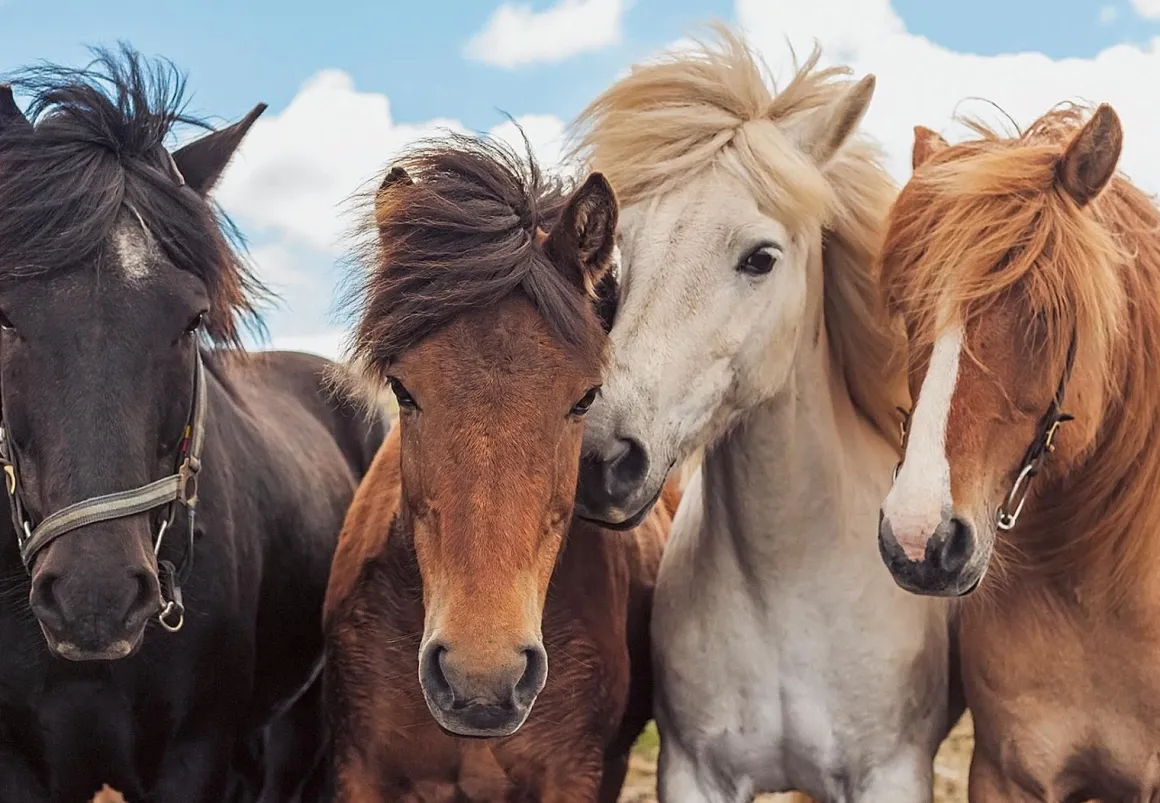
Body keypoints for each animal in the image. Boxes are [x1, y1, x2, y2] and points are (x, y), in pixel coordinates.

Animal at [567, 26, 959, 802]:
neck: (785, 587)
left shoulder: (892, 773)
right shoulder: (692, 772)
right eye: (622, 258)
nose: (602, 462)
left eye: (760, 258)